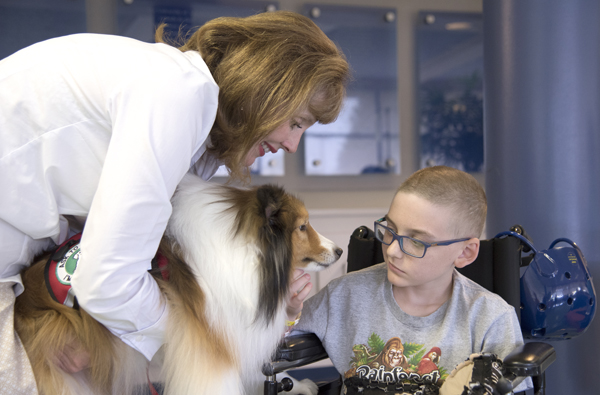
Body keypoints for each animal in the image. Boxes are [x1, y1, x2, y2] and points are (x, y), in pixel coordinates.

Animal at [12, 175, 342, 395]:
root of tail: (21, 297)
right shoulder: (209, 343)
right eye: (302, 226)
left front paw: (299, 385)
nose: (339, 250)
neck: (248, 253)